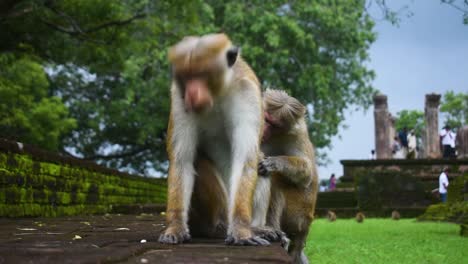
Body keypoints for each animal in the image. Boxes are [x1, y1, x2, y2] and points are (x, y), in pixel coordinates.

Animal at [158, 33, 266, 245]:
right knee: (197, 160)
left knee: (262, 164)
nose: (192, 93)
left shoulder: (247, 93)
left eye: (201, 75)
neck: (217, 95)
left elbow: (245, 159)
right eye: (187, 77)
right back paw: (216, 227)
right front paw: (175, 227)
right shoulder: (179, 98)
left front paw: (241, 230)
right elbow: (182, 160)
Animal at [254, 89, 320, 264]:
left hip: (299, 213)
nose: (264, 128)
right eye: (266, 119)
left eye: (275, 125)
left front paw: (275, 162)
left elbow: (307, 173)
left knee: (276, 181)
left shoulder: (297, 133)